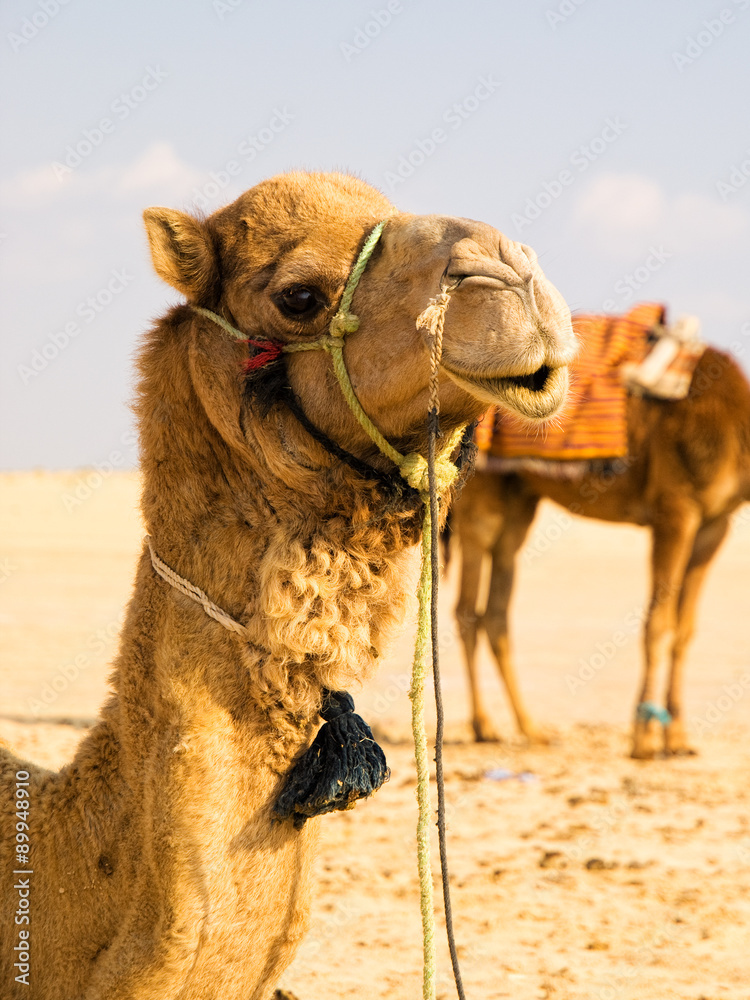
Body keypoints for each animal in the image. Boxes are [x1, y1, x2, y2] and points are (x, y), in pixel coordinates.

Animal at [449, 345, 750, 759]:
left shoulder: (714, 523)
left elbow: (685, 629)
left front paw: (678, 739)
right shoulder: (675, 510)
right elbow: (658, 624)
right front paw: (643, 740)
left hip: (518, 501)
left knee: (495, 611)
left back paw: (531, 729)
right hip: (481, 496)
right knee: (466, 609)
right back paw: (484, 726)